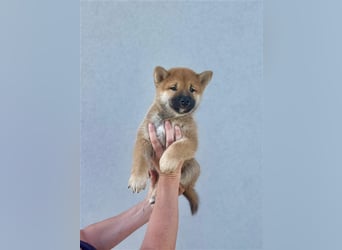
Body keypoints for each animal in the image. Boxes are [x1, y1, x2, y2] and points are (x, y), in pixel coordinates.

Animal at [128, 66, 212, 215]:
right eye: (173, 88)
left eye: (192, 89)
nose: (185, 101)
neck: (170, 117)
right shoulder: (144, 136)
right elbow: (140, 159)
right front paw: (137, 179)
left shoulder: (191, 140)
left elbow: (177, 147)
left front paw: (166, 161)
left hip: (193, 167)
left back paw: (156, 194)